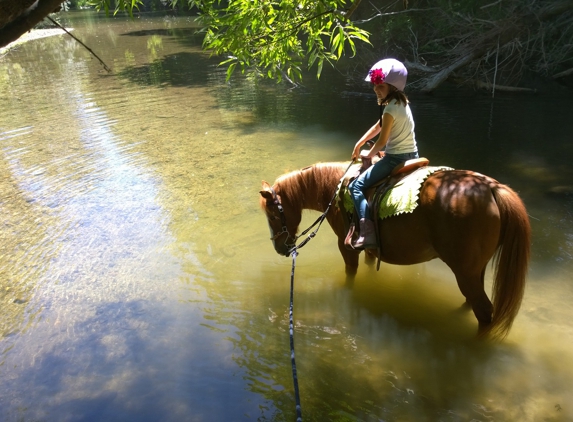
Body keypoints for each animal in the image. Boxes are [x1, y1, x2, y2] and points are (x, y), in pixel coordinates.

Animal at [258, 162, 528, 340]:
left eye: (272, 215)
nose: (280, 248)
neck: (334, 191)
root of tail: (491, 187)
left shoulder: (346, 248)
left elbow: (350, 275)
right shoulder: (369, 249)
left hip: (465, 271)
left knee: (484, 310)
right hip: (474, 270)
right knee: (472, 302)